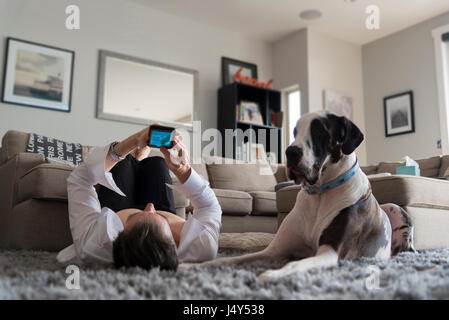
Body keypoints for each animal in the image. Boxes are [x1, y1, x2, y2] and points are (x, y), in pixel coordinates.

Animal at [185, 110, 412, 280]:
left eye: (319, 131)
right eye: (295, 131)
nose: (290, 152)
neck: (319, 194)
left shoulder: (331, 252)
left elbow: (295, 265)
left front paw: (272, 274)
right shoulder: (273, 251)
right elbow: (226, 260)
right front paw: (191, 265)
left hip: (395, 209)